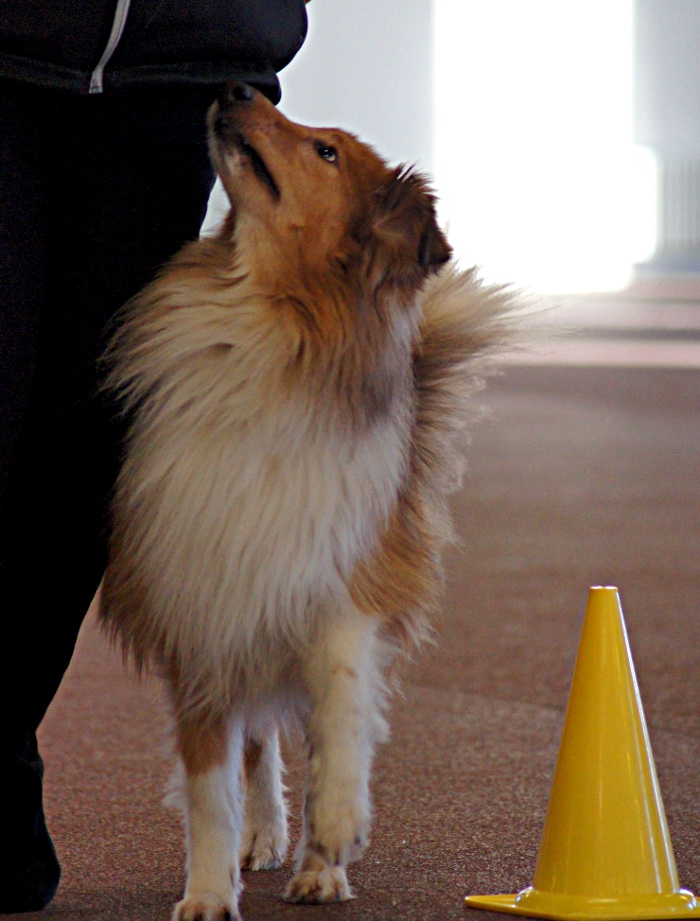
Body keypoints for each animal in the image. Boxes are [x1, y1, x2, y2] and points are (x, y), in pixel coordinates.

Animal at [100, 81, 520, 921]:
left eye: (325, 151)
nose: (235, 86)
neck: (266, 322)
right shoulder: (205, 601)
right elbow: (211, 784)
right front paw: (208, 889)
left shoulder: (341, 581)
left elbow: (340, 716)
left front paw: (335, 831)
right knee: (257, 743)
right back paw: (264, 836)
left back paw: (319, 866)